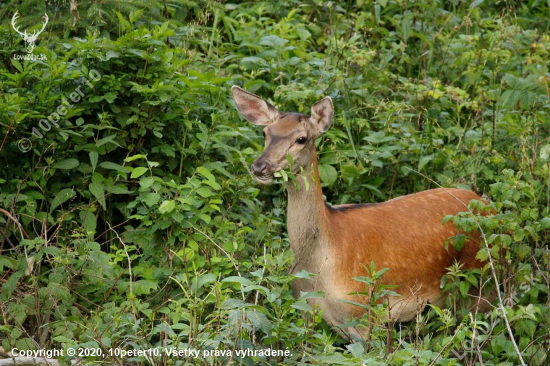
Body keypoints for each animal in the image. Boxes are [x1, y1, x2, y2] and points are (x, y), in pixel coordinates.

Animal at [231, 87, 490, 338]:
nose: (260, 167)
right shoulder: (304, 309)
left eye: (301, 139)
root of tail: (488, 205)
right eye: (265, 133)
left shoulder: (364, 312)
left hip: (481, 282)